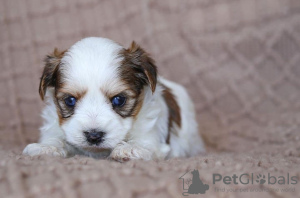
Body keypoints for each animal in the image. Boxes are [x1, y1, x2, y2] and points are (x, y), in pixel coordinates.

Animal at [22, 37, 206, 162]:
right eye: (70, 101)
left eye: (118, 100)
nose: (94, 135)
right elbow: (56, 137)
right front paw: (46, 147)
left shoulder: (151, 133)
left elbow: (147, 144)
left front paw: (131, 149)